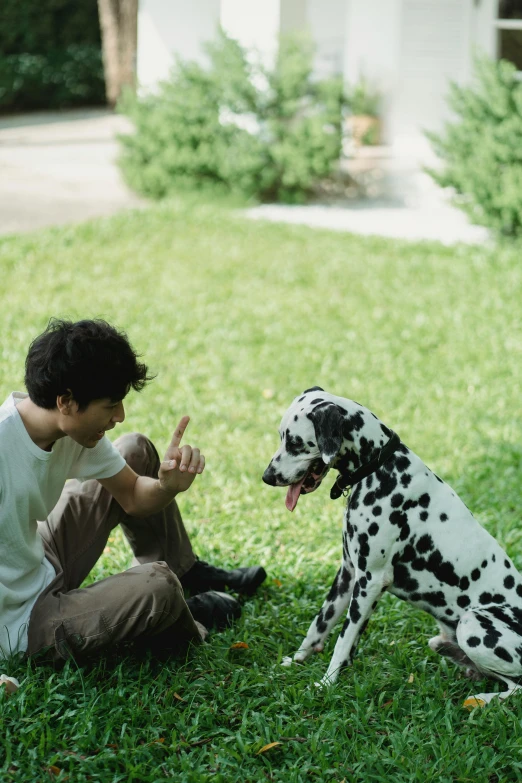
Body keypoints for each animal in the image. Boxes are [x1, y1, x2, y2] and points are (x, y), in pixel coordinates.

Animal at [260, 388, 522, 708]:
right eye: (281, 437)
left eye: (295, 443)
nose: (267, 476)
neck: (381, 469)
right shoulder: (348, 575)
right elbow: (319, 625)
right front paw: (296, 661)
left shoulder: (370, 581)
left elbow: (343, 639)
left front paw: (326, 683)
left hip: (472, 623)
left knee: (516, 687)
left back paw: (482, 698)